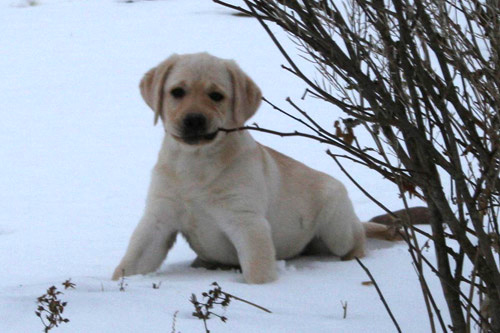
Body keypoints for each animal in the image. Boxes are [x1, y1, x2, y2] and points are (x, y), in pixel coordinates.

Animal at [112, 52, 394, 282]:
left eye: (216, 96)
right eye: (177, 92)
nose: (194, 120)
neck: (196, 161)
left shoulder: (246, 221)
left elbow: (257, 272)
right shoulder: (158, 218)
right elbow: (131, 263)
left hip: (338, 226)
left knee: (356, 240)